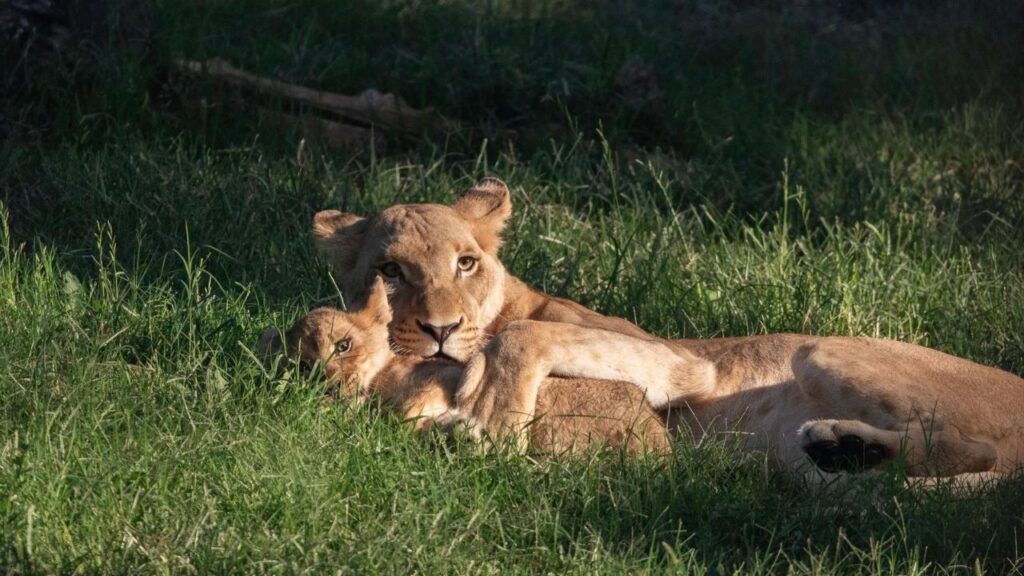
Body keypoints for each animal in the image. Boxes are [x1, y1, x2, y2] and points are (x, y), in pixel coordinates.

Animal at [312, 178, 1024, 480]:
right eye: (390, 271)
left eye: (466, 262)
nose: (440, 329)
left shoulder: (682, 361)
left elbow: (516, 342)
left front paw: (489, 412)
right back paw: (844, 451)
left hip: (823, 348)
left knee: (979, 452)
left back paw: (846, 446)